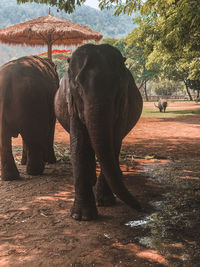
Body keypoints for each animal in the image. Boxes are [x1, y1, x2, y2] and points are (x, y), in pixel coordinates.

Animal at [54, 44, 143, 222]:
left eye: (119, 88)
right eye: (78, 87)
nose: (143, 208)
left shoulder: (123, 105)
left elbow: (114, 141)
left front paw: (105, 202)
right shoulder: (72, 104)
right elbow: (78, 143)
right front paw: (81, 216)